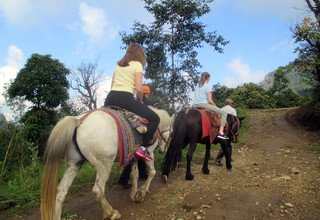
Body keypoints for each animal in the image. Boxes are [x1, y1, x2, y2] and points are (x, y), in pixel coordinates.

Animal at [41, 105, 174, 219]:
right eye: (172, 134)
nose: (162, 150)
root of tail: (79, 120)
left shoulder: (133, 157)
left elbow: (135, 174)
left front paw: (134, 194)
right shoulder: (149, 152)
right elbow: (152, 171)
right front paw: (142, 192)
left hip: (74, 164)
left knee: (61, 192)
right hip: (104, 165)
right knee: (98, 189)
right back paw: (111, 212)